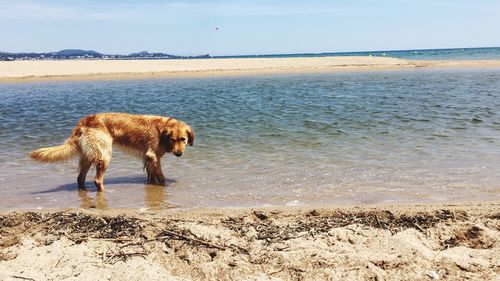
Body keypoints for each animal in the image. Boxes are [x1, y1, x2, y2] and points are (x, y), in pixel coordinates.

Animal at [29, 112, 193, 191]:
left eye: (183, 139)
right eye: (173, 139)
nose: (179, 154)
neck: (162, 131)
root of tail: (84, 121)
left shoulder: (150, 159)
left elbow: (151, 177)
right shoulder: (153, 156)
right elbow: (161, 177)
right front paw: (164, 186)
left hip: (88, 157)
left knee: (80, 178)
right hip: (104, 155)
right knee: (97, 180)